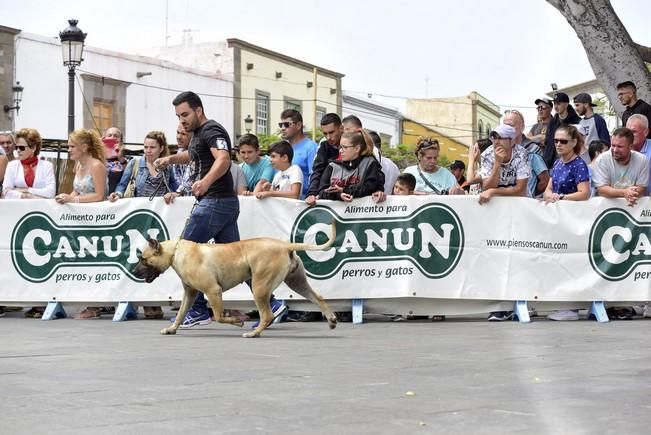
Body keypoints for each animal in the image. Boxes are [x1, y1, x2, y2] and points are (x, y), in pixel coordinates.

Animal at [132, 223, 336, 338]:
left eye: (143, 259)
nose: (134, 271)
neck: (175, 252)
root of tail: (285, 246)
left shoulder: (213, 291)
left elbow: (219, 316)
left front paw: (237, 322)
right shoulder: (190, 293)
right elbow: (182, 312)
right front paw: (172, 328)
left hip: (259, 286)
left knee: (267, 315)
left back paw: (254, 333)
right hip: (297, 282)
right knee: (318, 297)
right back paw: (332, 319)